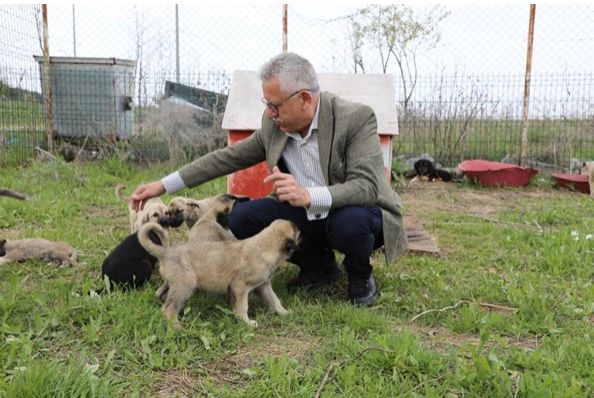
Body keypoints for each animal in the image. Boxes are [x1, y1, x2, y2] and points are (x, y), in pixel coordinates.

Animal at [136, 219, 298, 328]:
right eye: (299, 232)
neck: (265, 246)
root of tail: (165, 252)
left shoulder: (263, 286)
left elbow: (275, 300)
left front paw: (284, 313)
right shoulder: (240, 287)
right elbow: (243, 307)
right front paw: (246, 322)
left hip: (174, 283)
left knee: (160, 294)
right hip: (185, 285)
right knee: (169, 308)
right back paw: (177, 328)